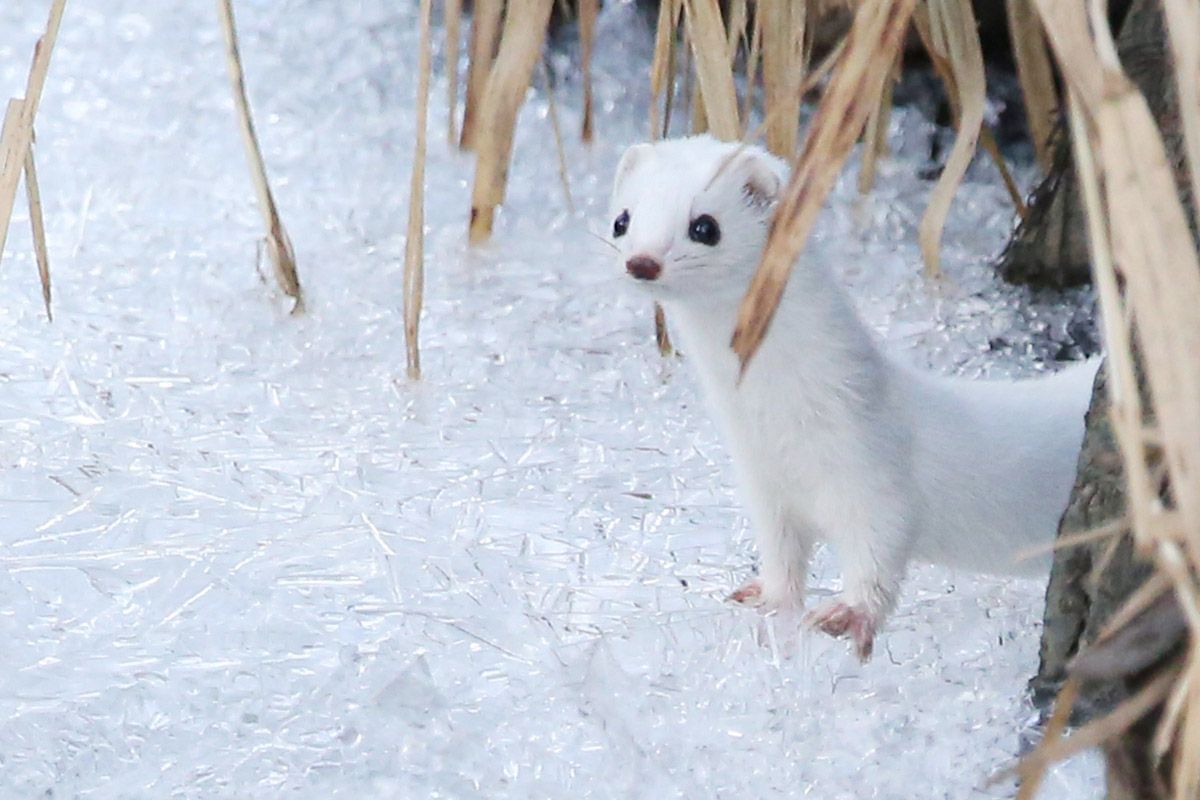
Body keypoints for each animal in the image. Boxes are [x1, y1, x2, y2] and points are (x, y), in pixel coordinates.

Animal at [614, 136, 1099, 662]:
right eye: (622, 219)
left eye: (705, 226)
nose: (642, 262)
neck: (774, 422)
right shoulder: (765, 483)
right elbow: (781, 552)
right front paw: (770, 600)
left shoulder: (871, 466)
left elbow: (880, 546)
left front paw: (849, 614)